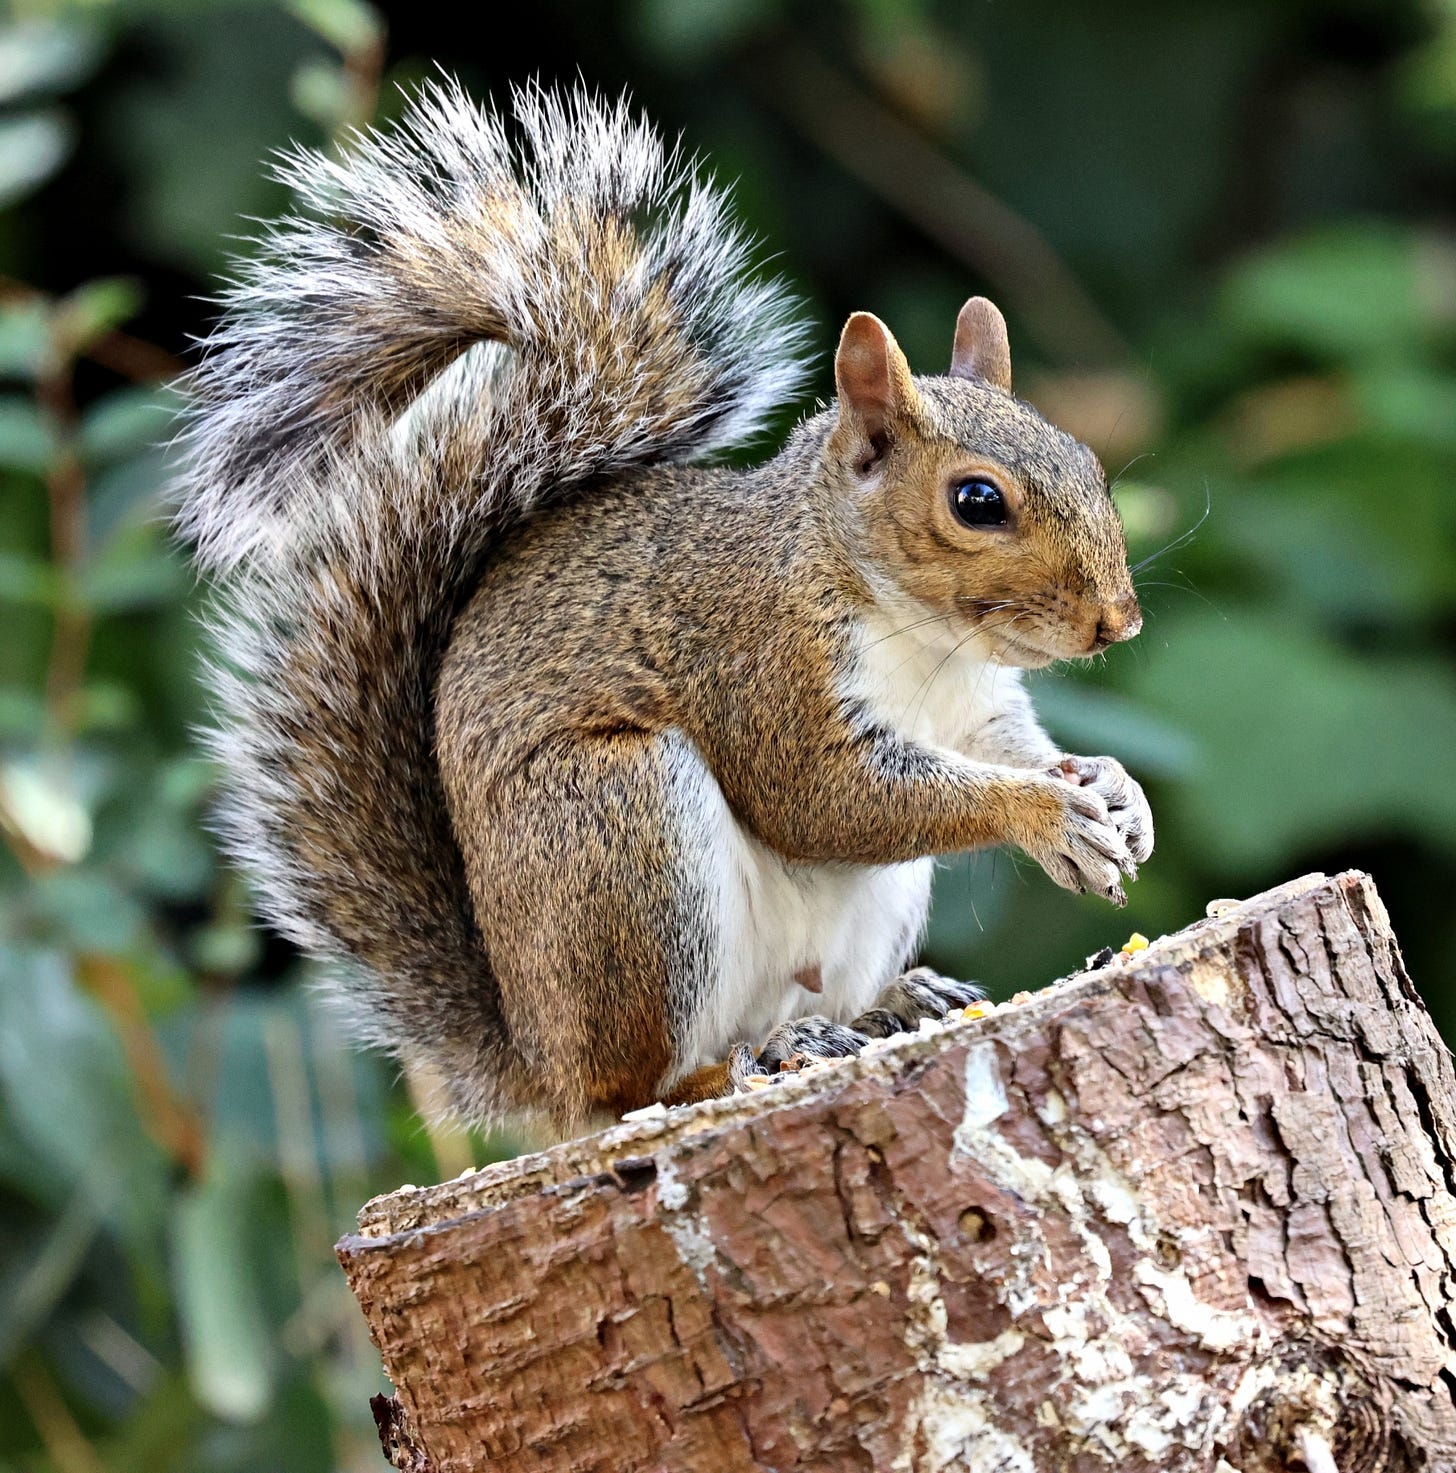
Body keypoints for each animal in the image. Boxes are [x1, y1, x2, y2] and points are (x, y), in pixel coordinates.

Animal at [175, 81, 1154, 1140]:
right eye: (977, 501)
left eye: (1088, 462)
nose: (1119, 622)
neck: (920, 637)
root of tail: (539, 1063)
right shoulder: (760, 663)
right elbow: (829, 799)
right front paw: (1049, 814)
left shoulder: (976, 706)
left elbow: (1015, 748)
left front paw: (1113, 791)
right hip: (624, 836)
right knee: (637, 1087)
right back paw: (735, 1069)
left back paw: (880, 1010)